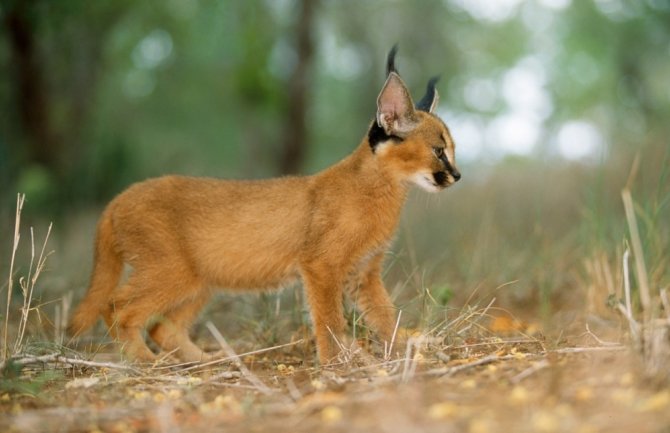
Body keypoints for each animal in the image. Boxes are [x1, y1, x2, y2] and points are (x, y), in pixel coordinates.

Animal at [71, 47, 462, 362]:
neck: (381, 187)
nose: (457, 175)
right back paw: (146, 362)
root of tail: (118, 198)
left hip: (199, 278)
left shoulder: (364, 274)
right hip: (169, 270)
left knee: (161, 327)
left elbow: (384, 314)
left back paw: (205, 361)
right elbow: (328, 318)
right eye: (438, 150)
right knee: (117, 307)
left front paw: (403, 346)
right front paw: (337, 361)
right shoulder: (320, 266)